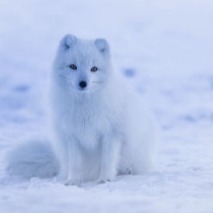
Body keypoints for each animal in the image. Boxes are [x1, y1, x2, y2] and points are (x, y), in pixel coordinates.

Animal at [6, 34, 157, 184]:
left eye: (94, 69)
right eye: (73, 66)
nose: (83, 83)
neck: (84, 107)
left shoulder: (111, 133)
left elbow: (107, 160)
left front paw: (105, 178)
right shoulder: (72, 135)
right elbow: (75, 163)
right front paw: (73, 181)